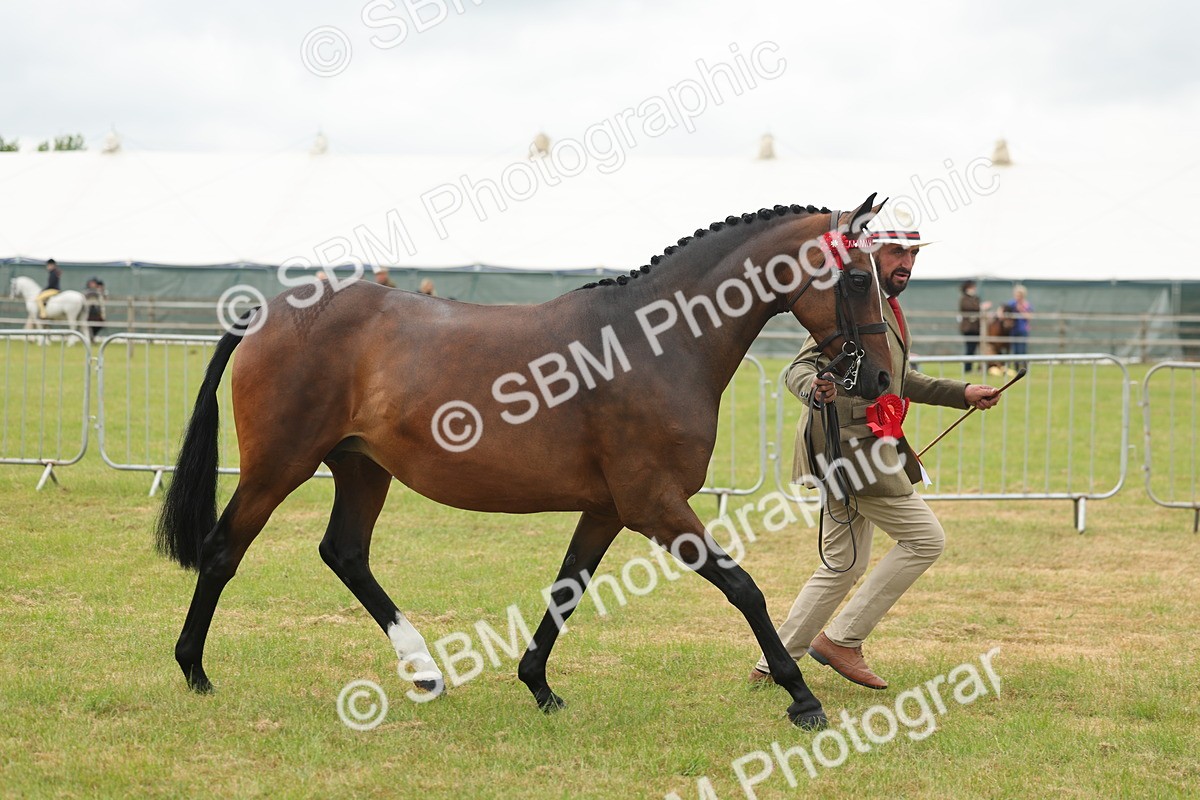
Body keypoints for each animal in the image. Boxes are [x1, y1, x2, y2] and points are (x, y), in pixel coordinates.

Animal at [156, 196, 896, 730]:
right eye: (860, 277)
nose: (881, 379)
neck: (655, 344)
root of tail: (268, 311)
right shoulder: (655, 504)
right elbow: (743, 587)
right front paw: (802, 697)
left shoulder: (608, 509)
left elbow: (568, 587)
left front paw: (537, 684)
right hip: (278, 466)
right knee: (223, 551)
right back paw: (194, 671)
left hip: (363, 468)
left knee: (344, 553)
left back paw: (424, 670)